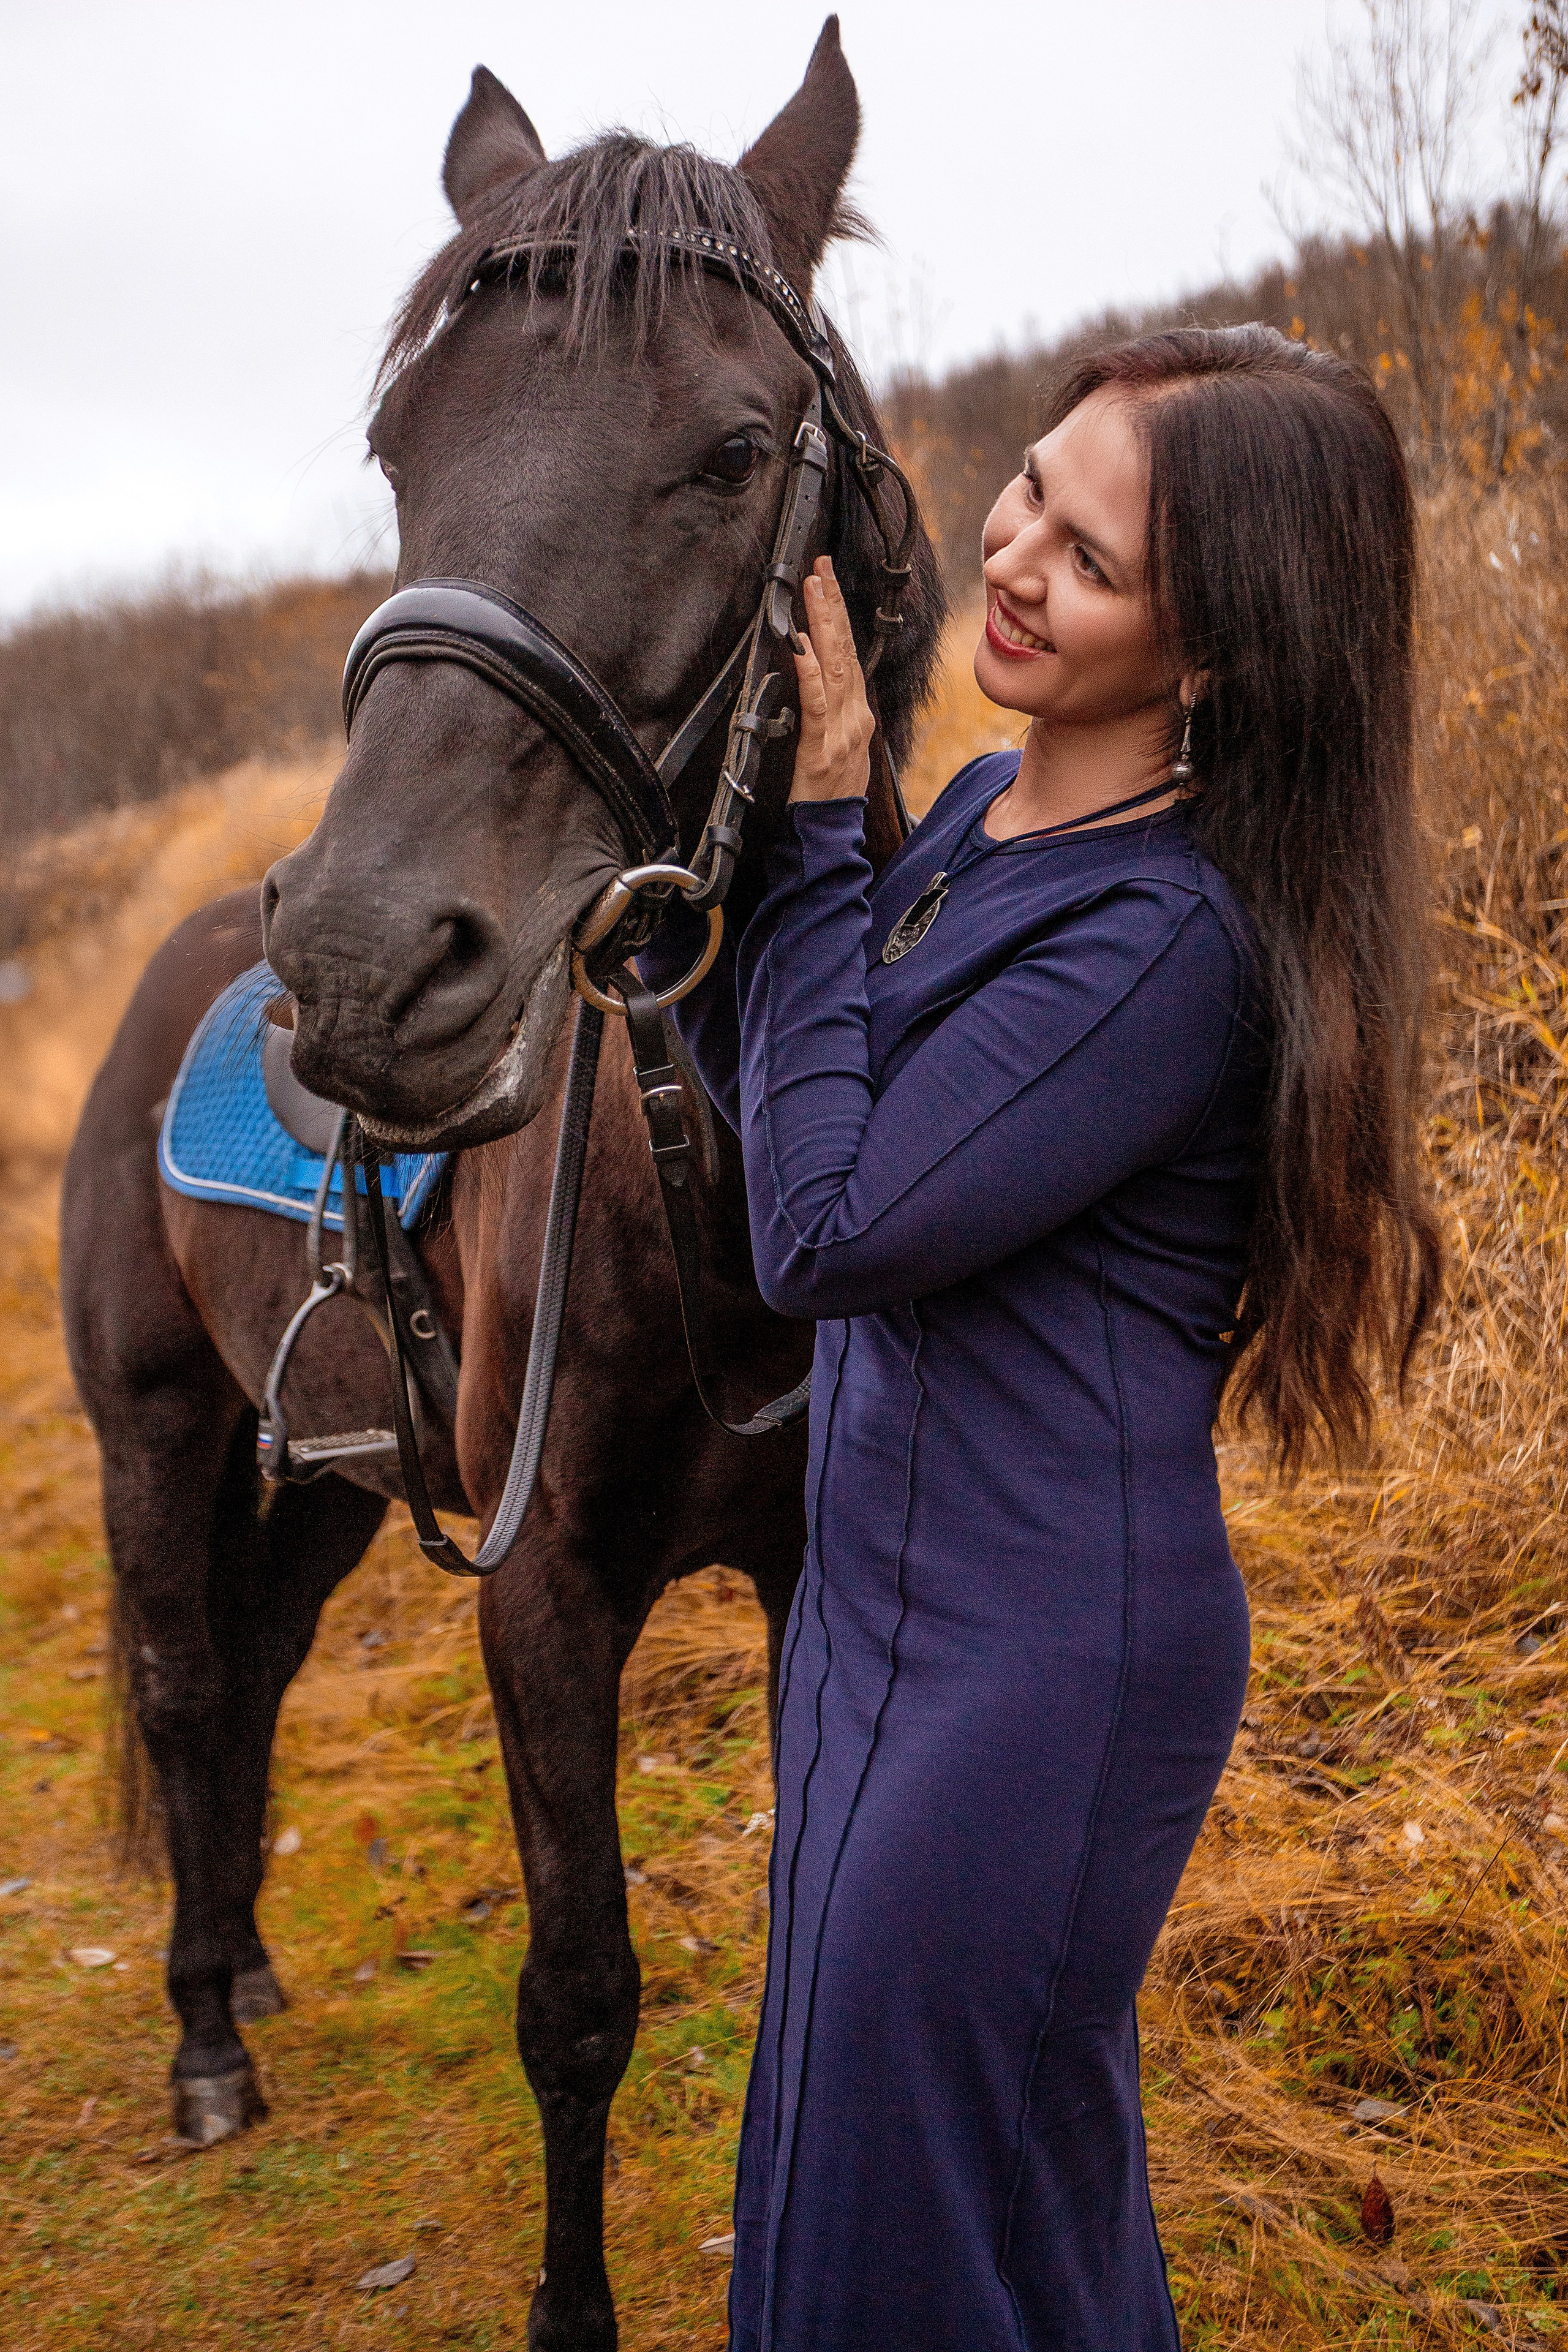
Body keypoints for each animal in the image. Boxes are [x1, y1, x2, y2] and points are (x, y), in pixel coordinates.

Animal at [61, 21, 944, 2347]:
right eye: (399, 447)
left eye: (732, 450)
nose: (369, 967)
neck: (712, 1185)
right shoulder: (540, 1592)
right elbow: (579, 1998)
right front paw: (573, 2309)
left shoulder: (810, 1566)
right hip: (157, 1434)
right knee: (186, 1687)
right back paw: (206, 2039)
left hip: (322, 1473)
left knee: (257, 1674)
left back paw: (245, 1955)